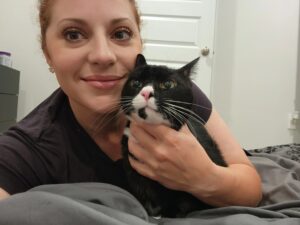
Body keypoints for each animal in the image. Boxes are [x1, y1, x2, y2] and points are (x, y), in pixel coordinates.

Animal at [119, 54, 227, 218]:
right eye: (136, 83)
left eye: (168, 84)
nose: (146, 92)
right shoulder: (132, 167)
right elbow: (143, 190)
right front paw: (150, 211)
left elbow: (185, 199)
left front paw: (174, 213)